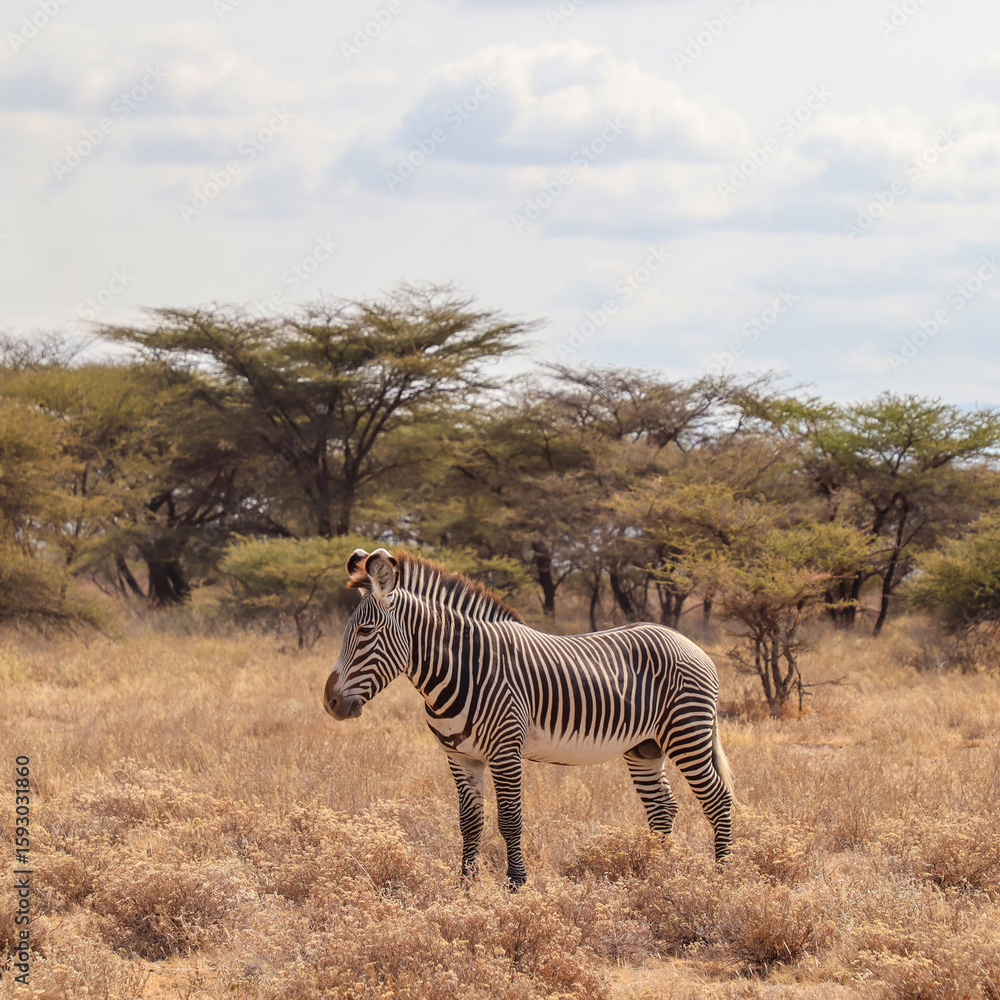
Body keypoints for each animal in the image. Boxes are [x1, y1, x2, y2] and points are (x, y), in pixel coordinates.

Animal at [323, 547, 734, 887]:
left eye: (365, 631)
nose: (330, 703)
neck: (462, 668)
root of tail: (688, 643)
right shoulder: (460, 757)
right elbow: (469, 822)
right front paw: (466, 886)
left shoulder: (505, 751)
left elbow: (509, 819)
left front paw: (516, 884)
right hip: (644, 747)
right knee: (662, 807)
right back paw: (656, 870)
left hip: (687, 733)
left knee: (718, 799)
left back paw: (722, 876)